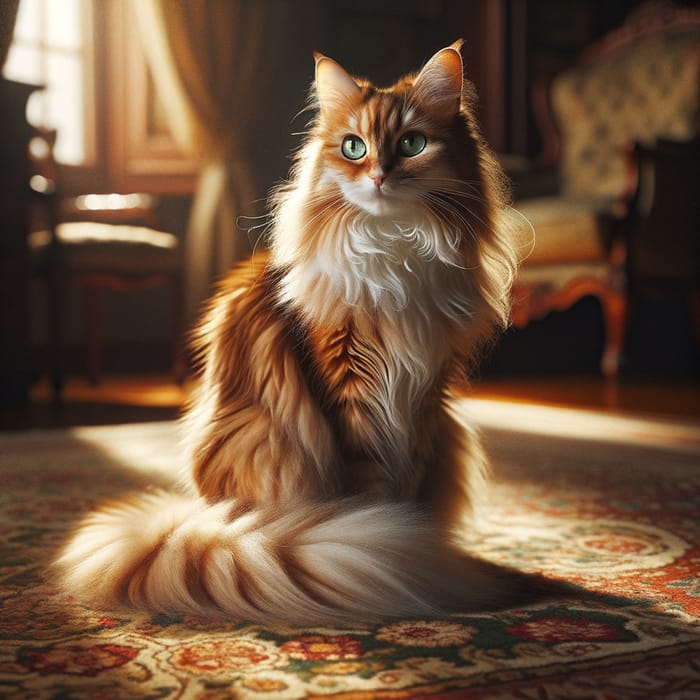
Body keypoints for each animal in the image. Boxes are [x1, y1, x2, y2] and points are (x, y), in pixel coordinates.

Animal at [57, 42, 520, 624]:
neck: (393, 250)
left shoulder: (424, 396)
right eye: (353, 147)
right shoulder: (349, 392)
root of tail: (207, 517)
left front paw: (416, 544)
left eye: (412, 144)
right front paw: (392, 541)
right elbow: (373, 487)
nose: (379, 176)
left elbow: (409, 483)